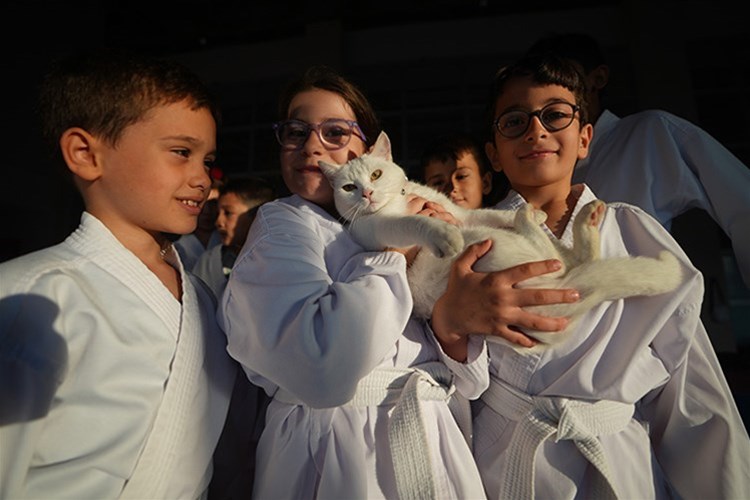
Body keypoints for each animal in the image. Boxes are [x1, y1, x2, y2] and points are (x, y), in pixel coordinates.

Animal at [320, 131, 684, 346]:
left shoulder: (463, 213)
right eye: (348, 187)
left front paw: (527, 215)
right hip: (491, 242)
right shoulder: (380, 227)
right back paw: (544, 220)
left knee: (568, 257)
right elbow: (413, 222)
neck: (400, 198)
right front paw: (443, 235)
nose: (366, 194)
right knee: (559, 255)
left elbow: (490, 212)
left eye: (376, 174)